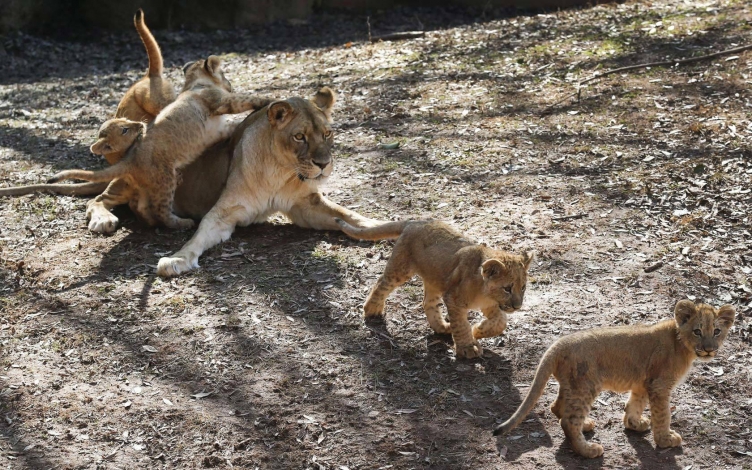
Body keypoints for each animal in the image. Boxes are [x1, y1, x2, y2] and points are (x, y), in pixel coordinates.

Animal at [47, 56, 272, 230]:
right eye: (224, 74)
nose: (230, 83)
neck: (193, 84)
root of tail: (130, 159)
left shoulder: (219, 127)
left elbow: (231, 125)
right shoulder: (219, 101)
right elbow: (243, 100)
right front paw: (267, 100)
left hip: (147, 186)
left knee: (139, 206)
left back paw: (150, 222)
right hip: (165, 180)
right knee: (158, 210)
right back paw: (181, 223)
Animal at [156, 87, 385, 277]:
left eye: (327, 134)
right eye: (299, 136)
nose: (323, 163)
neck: (280, 173)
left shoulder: (305, 204)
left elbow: (347, 214)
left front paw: (378, 227)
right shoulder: (224, 213)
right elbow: (200, 233)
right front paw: (177, 258)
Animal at [335, 219, 533, 359]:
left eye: (523, 287)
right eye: (507, 288)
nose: (517, 306)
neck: (486, 294)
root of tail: (415, 221)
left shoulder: (490, 305)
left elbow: (500, 322)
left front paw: (478, 330)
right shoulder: (454, 299)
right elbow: (461, 325)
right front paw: (468, 347)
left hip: (435, 279)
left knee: (427, 303)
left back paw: (443, 327)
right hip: (401, 270)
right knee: (381, 282)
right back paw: (372, 310)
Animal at [492, 300, 736, 458]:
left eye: (716, 331)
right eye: (697, 331)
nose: (709, 349)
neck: (683, 345)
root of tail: (558, 344)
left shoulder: (643, 382)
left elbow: (635, 403)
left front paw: (635, 424)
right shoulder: (659, 385)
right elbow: (663, 415)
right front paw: (666, 439)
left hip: (572, 385)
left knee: (556, 407)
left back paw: (586, 425)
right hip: (587, 386)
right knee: (568, 421)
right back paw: (589, 450)